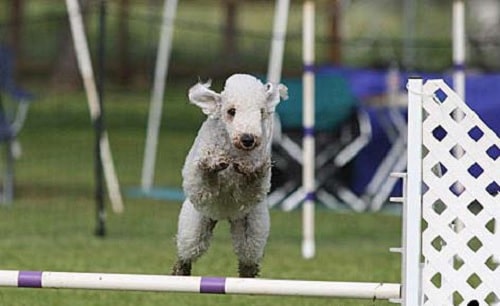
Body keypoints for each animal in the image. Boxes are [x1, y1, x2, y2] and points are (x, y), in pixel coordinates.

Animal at [173, 74, 288, 278]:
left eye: (261, 112)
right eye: (231, 111)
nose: (248, 139)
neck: (233, 150)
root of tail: (225, 216)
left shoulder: (251, 193)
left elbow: (251, 185)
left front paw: (253, 167)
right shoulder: (198, 185)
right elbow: (204, 180)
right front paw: (213, 161)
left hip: (251, 227)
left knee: (248, 256)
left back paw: (248, 274)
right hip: (195, 226)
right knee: (187, 251)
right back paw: (180, 270)